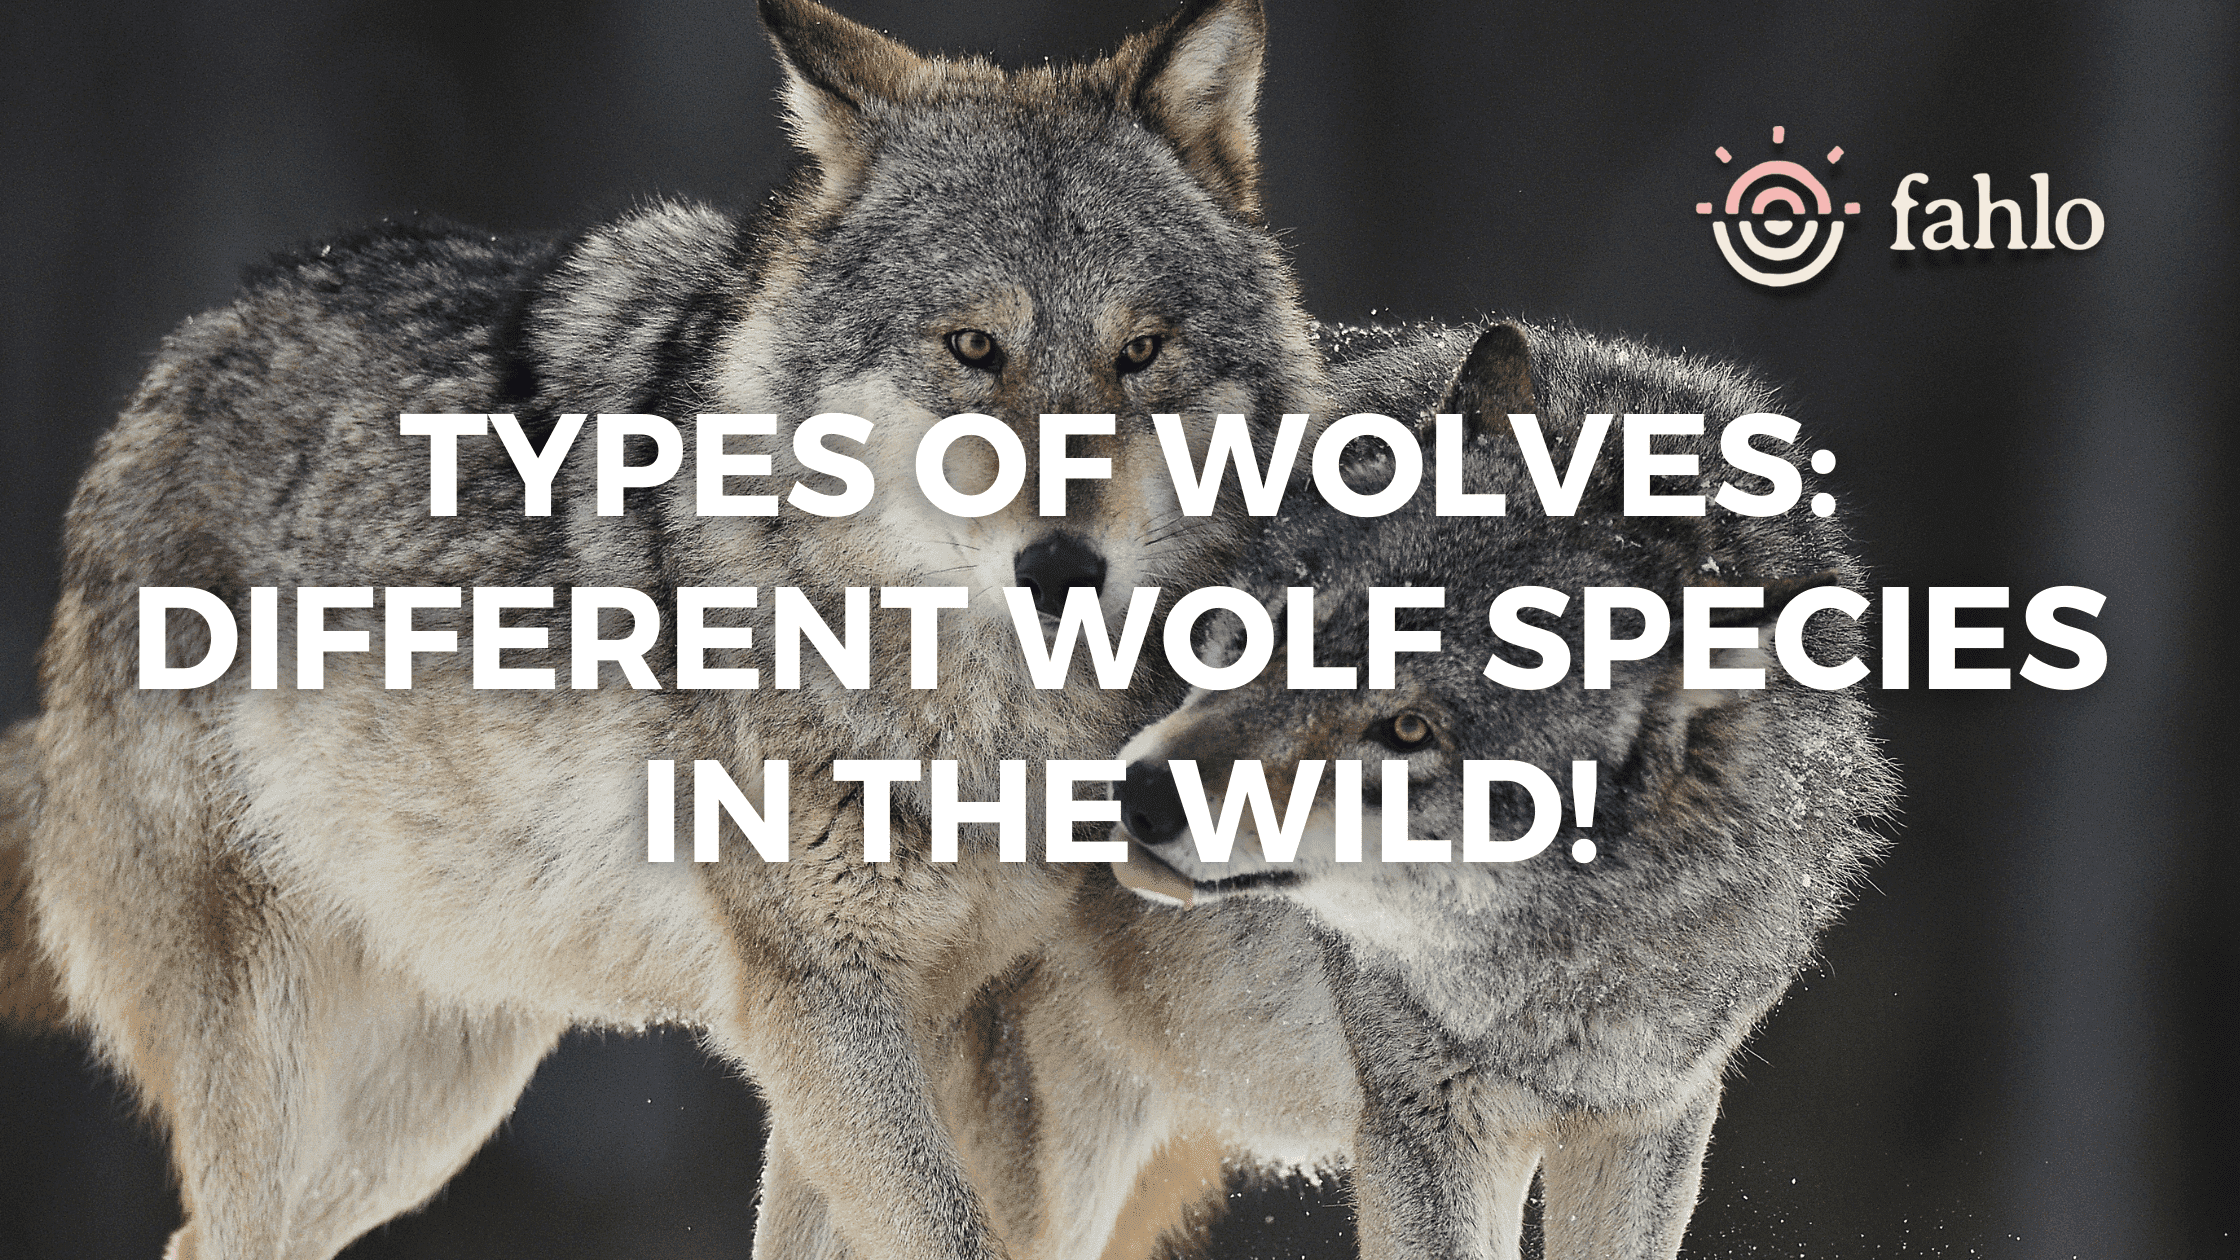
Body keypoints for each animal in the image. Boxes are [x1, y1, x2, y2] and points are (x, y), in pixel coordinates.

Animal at [5, 0, 1324, 1256]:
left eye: (1139, 352)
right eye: (972, 348)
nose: (1061, 567)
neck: (970, 706)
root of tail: (169, 373)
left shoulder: (897, 1016)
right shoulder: (818, 1000)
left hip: (427, 1109)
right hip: (288, 1067)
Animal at [921, 319, 1897, 1260]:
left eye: (1410, 732)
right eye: (1280, 625)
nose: (1136, 796)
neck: (1564, 974)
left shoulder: (1648, 1122)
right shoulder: (1425, 1120)